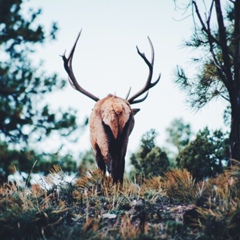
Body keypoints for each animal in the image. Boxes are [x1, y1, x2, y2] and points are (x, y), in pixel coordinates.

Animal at [61, 30, 160, 184]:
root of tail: (116, 109)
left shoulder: (95, 146)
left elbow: (101, 170)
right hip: (124, 139)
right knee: (120, 167)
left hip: (104, 140)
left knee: (111, 167)